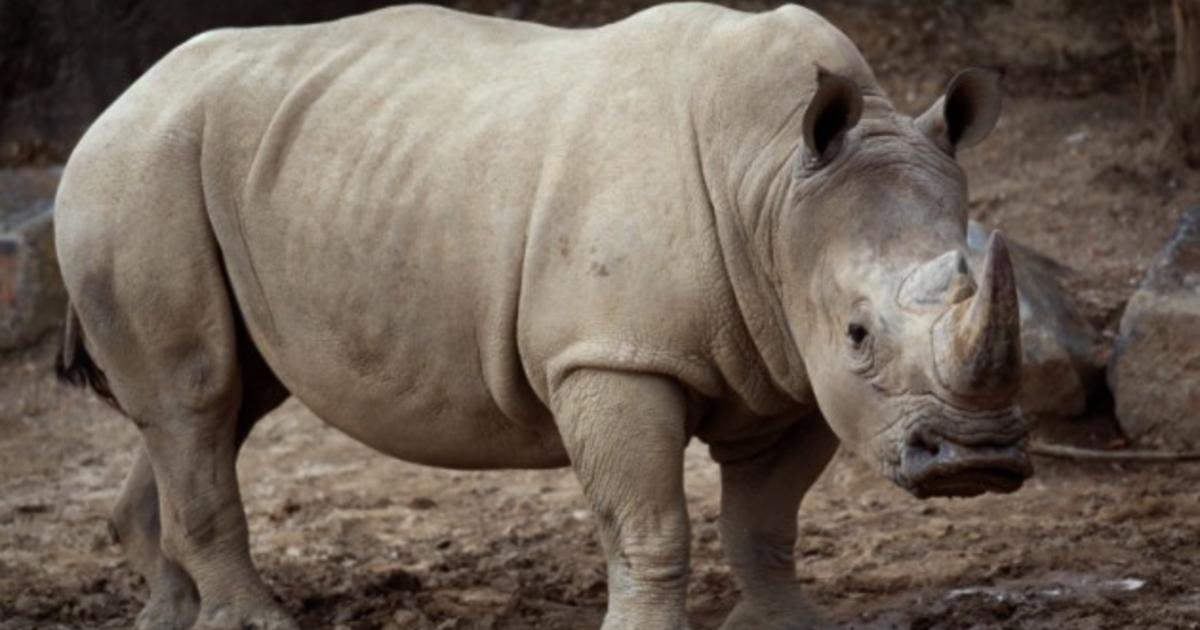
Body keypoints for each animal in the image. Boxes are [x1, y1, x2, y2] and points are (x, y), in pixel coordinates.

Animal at [54, 2, 1032, 624]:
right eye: (861, 333)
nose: (976, 459)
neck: (774, 185)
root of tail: (117, 101)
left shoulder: (792, 366)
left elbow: (765, 521)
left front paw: (784, 626)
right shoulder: (610, 353)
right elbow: (648, 526)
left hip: (202, 171)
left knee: (218, 404)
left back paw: (171, 615)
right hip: (136, 172)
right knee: (197, 395)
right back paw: (248, 622)